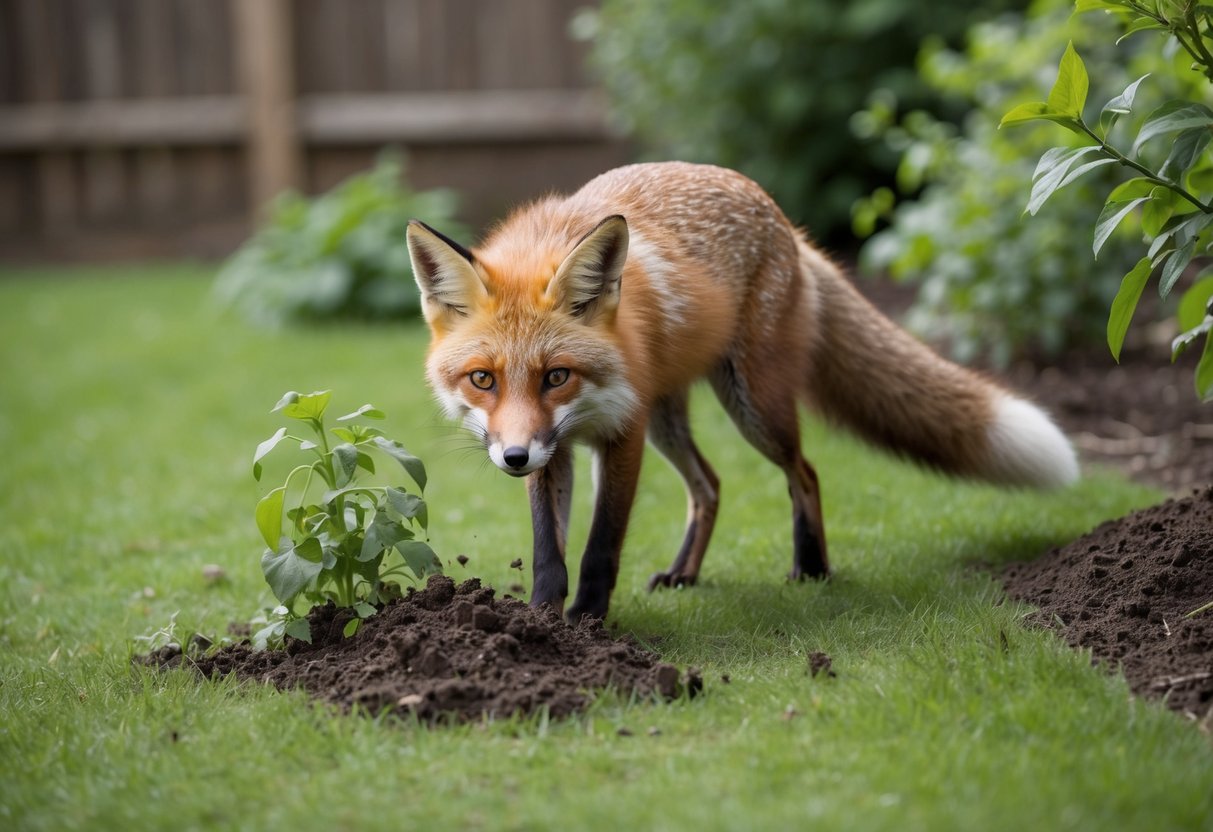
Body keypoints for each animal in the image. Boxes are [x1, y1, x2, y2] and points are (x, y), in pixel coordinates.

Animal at [405, 162, 1078, 623]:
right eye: (484, 379)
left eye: (555, 376)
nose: (513, 458)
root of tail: (784, 220)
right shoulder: (558, 448)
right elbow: (550, 549)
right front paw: (541, 626)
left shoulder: (619, 434)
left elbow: (600, 546)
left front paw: (588, 623)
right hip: (669, 421)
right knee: (710, 486)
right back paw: (685, 574)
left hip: (752, 405)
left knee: (804, 472)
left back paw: (812, 568)